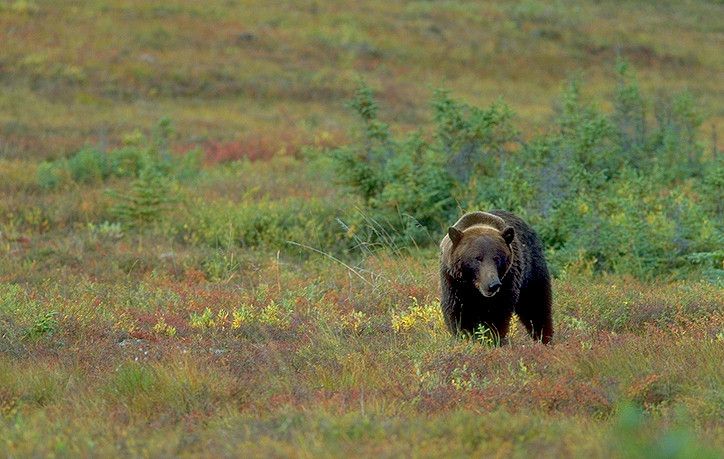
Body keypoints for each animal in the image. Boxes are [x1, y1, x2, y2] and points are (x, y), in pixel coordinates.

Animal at [439, 210, 553, 344]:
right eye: (477, 258)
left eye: (497, 258)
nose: (493, 285)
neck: (475, 289)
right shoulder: (454, 283)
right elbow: (458, 312)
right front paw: (466, 337)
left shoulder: (507, 282)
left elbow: (497, 315)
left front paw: (491, 339)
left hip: (531, 271)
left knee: (536, 304)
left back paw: (544, 338)